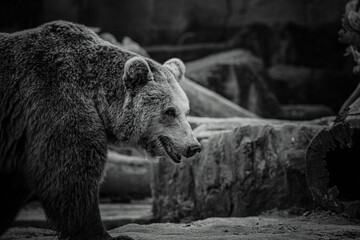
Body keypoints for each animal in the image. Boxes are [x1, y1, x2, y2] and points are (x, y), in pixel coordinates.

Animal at [0, 21, 201, 240]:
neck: (97, 96)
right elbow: (71, 172)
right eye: (170, 111)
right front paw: (102, 233)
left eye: (186, 110)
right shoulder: (56, 102)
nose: (193, 146)